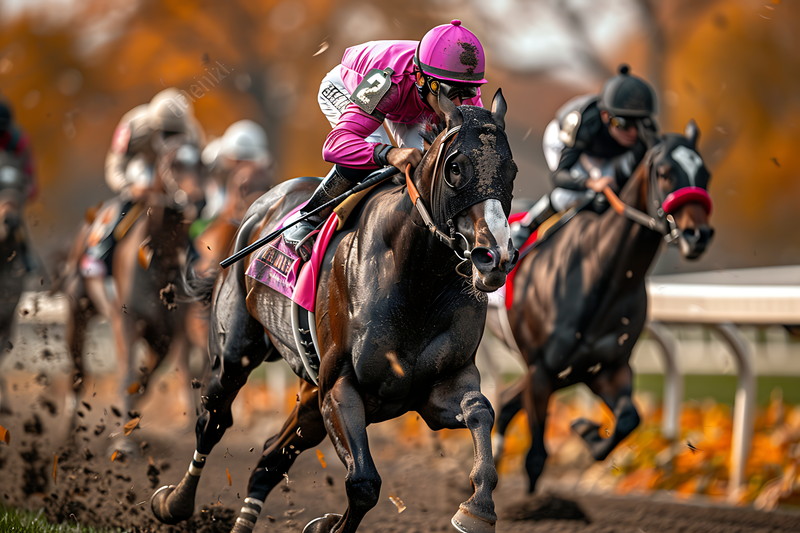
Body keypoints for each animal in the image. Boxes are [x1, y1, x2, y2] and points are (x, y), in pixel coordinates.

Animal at [153, 91, 520, 532]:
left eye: (512, 170)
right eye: (455, 168)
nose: (495, 257)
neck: (417, 281)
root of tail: (258, 210)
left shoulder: (440, 387)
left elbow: (480, 410)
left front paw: (477, 508)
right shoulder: (341, 388)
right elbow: (363, 483)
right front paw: (327, 523)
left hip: (311, 394)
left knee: (270, 459)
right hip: (234, 354)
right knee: (213, 421)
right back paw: (174, 503)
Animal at [490, 119, 716, 490]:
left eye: (705, 174)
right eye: (665, 172)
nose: (698, 235)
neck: (601, 275)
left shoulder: (605, 368)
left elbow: (629, 419)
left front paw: (587, 430)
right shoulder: (542, 370)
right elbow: (536, 457)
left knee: (508, 401)